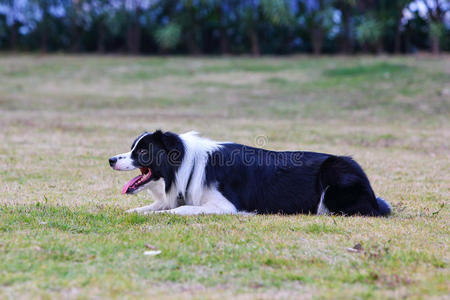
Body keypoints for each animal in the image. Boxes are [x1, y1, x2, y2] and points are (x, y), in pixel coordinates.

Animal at [109, 131, 390, 216]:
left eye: (142, 151)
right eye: (132, 147)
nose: (111, 159)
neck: (186, 165)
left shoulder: (225, 206)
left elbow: (181, 209)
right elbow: (153, 206)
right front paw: (133, 212)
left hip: (335, 172)